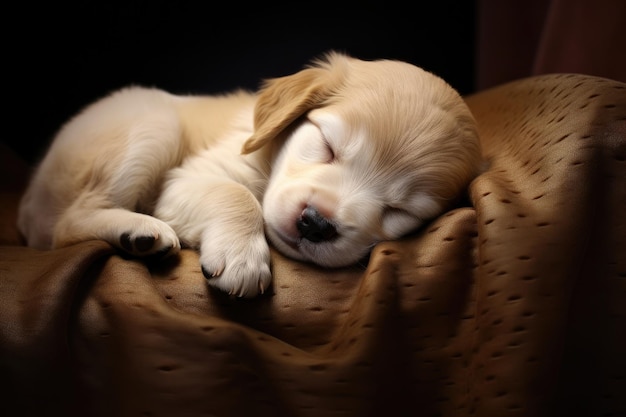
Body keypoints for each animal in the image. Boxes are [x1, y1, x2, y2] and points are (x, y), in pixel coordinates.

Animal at [17, 52, 480, 298]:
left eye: (399, 211)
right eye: (328, 146)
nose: (316, 224)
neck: (270, 160)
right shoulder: (190, 177)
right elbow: (236, 196)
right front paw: (241, 258)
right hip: (154, 123)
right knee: (67, 225)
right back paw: (140, 231)